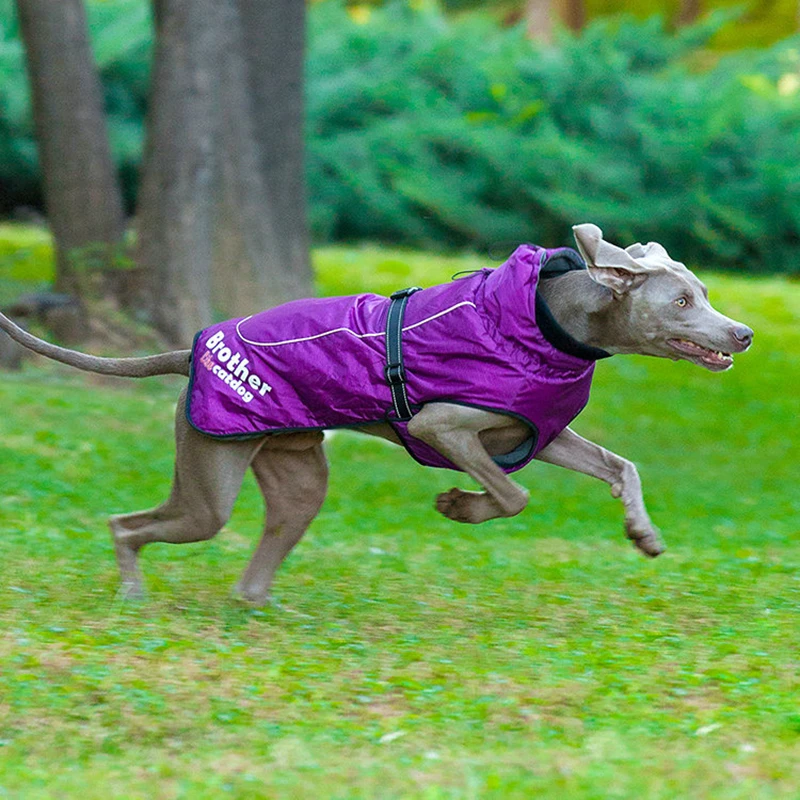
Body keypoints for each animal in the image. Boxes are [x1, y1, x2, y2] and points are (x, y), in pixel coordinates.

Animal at [0, 222, 752, 604]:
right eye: (682, 301)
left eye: (704, 292)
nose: (742, 333)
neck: (555, 322)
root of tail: (191, 350)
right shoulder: (442, 426)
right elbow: (512, 494)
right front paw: (459, 506)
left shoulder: (541, 429)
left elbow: (621, 466)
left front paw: (643, 534)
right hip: (208, 485)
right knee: (127, 525)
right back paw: (133, 591)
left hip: (297, 473)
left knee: (256, 559)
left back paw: (259, 603)